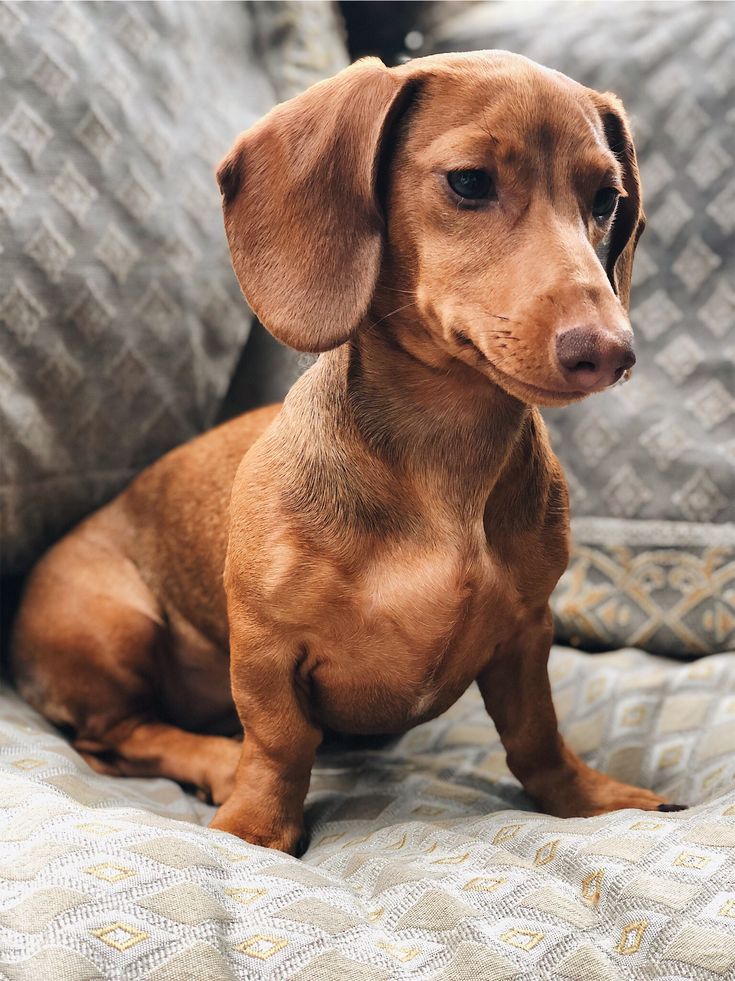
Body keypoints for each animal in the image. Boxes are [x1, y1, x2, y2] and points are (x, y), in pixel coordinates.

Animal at [8, 53, 680, 852]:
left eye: (607, 199)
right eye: (469, 182)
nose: (609, 352)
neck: (443, 457)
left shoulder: (525, 634)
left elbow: (536, 737)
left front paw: (588, 798)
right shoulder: (266, 648)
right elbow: (280, 743)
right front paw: (255, 829)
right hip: (112, 624)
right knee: (119, 735)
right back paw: (216, 760)